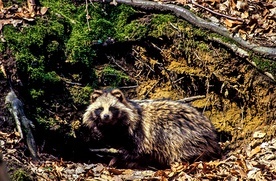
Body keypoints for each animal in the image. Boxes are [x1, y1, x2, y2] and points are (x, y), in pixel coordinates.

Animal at [82, 88, 222, 168]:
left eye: (112, 108)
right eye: (100, 109)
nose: (106, 116)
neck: (112, 125)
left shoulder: (140, 131)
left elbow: (140, 150)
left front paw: (121, 159)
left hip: (186, 135)